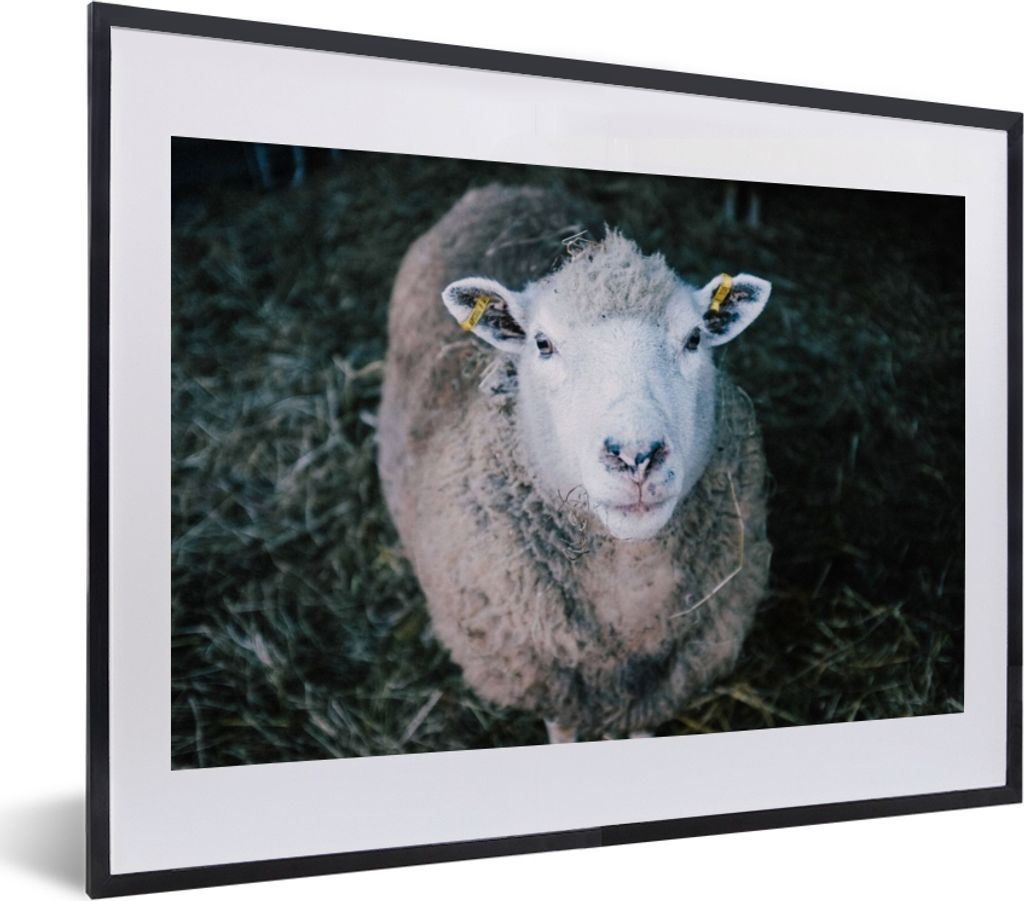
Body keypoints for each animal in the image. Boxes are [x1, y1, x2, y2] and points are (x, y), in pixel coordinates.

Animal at [377, 184, 773, 742]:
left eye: (694, 338)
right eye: (543, 344)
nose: (636, 456)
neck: (629, 592)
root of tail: (501, 191)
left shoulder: (654, 691)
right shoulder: (548, 680)